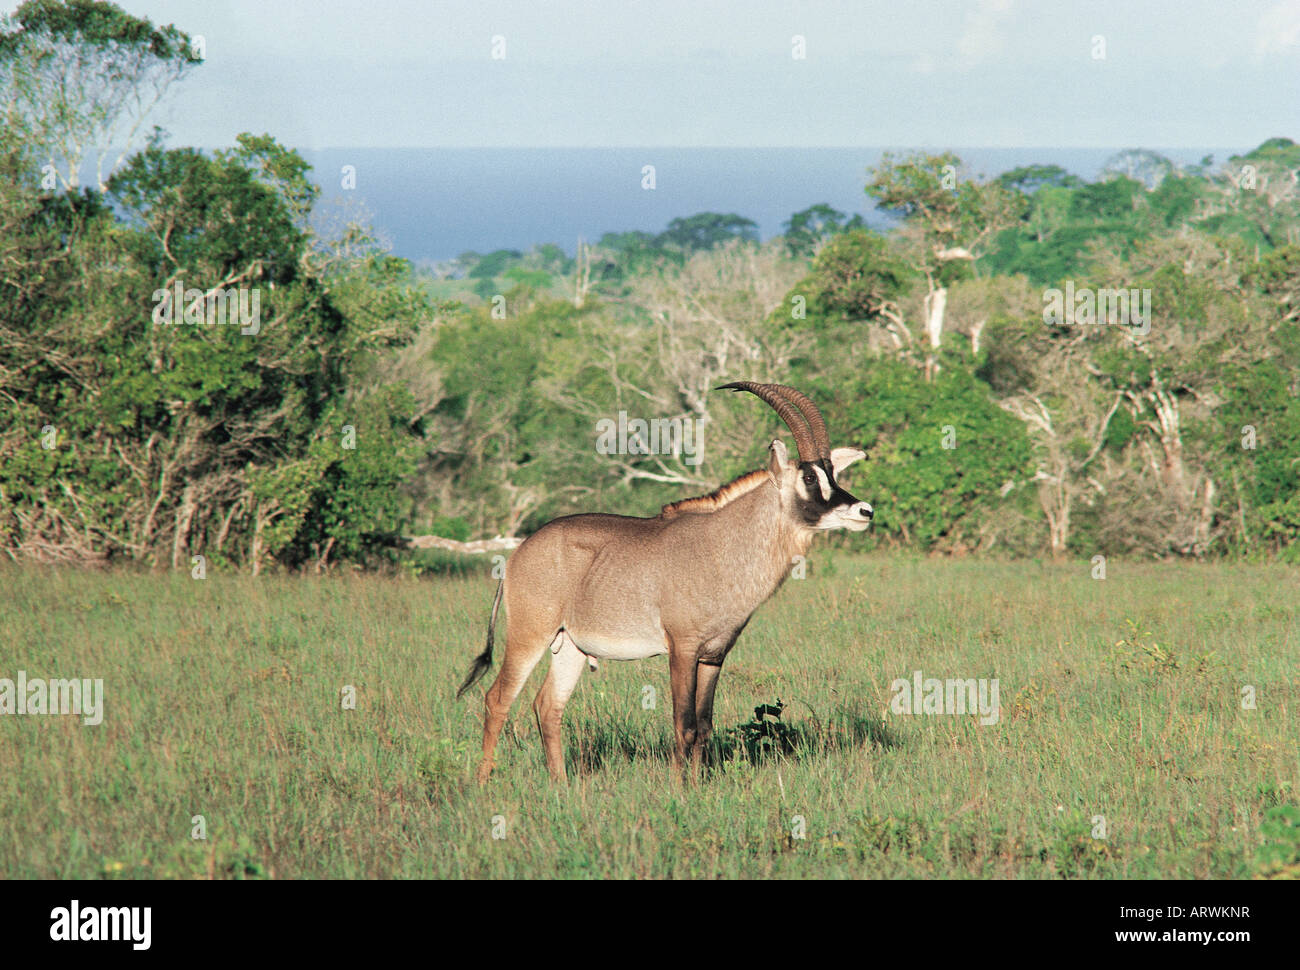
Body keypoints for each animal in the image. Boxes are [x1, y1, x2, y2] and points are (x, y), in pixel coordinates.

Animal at [457, 377, 873, 780]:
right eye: (809, 476)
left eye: (832, 473)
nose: (864, 510)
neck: (721, 547)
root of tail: (517, 555)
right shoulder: (682, 649)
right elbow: (683, 724)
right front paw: (678, 788)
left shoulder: (714, 656)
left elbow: (704, 725)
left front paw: (698, 785)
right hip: (529, 635)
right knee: (498, 699)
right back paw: (482, 782)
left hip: (569, 646)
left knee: (548, 706)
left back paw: (561, 785)